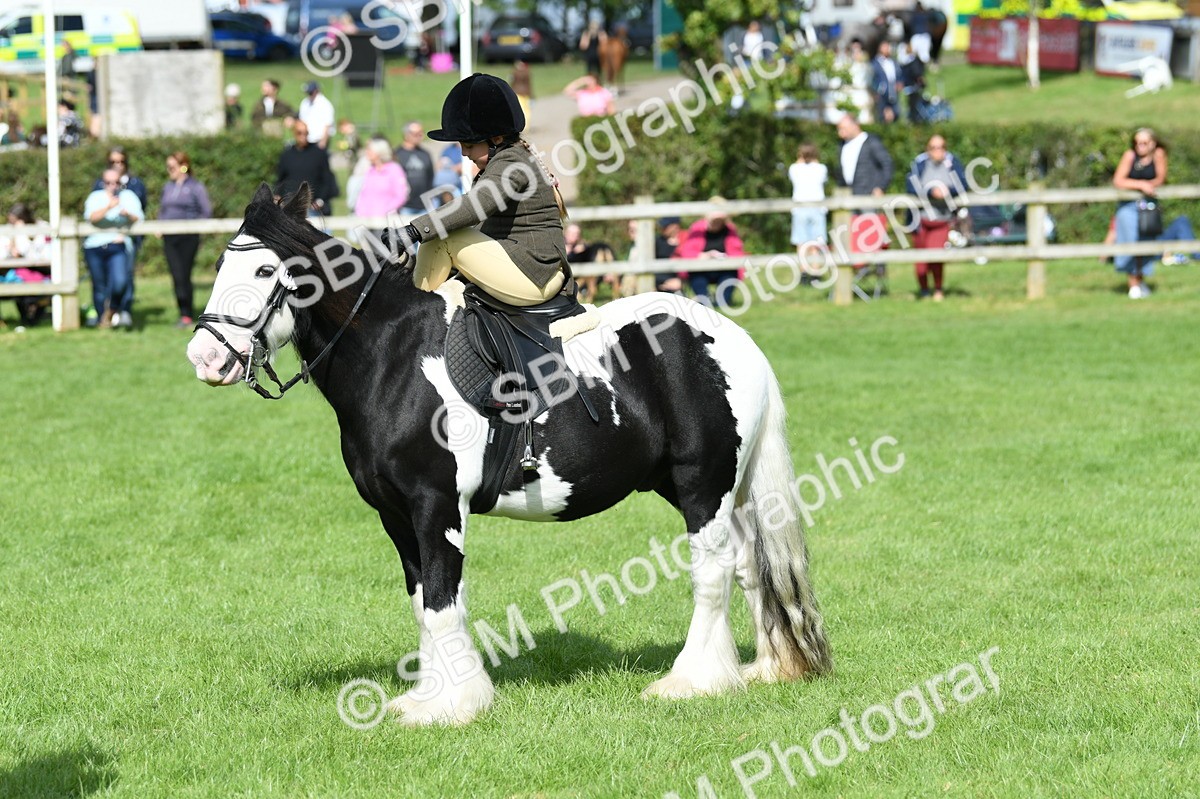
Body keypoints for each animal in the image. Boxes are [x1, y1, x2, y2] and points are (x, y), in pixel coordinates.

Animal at [185, 184, 832, 726]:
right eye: (218, 266)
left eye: (265, 268)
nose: (206, 358)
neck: (393, 355)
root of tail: (733, 339)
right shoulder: (395, 516)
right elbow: (422, 604)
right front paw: (425, 698)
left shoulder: (436, 507)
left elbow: (443, 603)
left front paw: (452, 707)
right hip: (706, 488)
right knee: (748, 564)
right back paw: (759, 670)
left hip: (702, 484)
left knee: (713, 570)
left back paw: (691, 681)